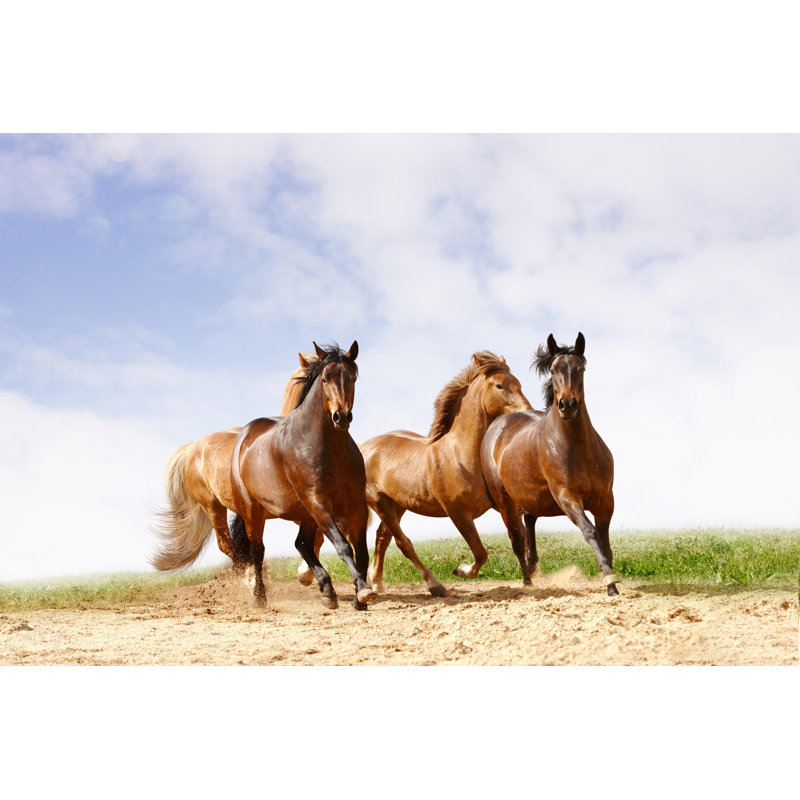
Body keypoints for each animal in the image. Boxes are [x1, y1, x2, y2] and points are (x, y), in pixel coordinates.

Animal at [230, 342, 376, 609]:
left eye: (352, 378)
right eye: (325, 379)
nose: (341, 417)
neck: (329, 449)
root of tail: (244, 435)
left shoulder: (355, 506)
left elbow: (360, 551)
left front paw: (360, 598)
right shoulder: (319, 503)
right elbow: (343, 546)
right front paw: (363, 590)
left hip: (305, 514)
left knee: (302, 544)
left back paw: (327, 591)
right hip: (254, 513)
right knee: (258, 551)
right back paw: (260, 597)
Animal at [361, 351, 532, 595]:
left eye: (518, 383)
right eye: (499, 385)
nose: (526, 411)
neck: (461, 453)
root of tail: (364, 447)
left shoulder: (504, 506)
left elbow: (520, 540)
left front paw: (532, 580)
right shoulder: (458, 513)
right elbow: (481, 552)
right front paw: (461, 570)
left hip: (397, 505)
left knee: (382, 538)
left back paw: (376, 582)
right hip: (380, 502)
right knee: (403, 543)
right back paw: (434, 585)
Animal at [480, 332, 620, 596]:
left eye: (580, 369)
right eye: (554, 370)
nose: (567, 405)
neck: (578, 449)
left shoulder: (605, 500)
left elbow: (606, 542)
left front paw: (612, 582)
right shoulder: (567, 497)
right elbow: (591, 532)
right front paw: (609, 580)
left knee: (529, 524)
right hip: (505, 503)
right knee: (517, 540)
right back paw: (527, 582)